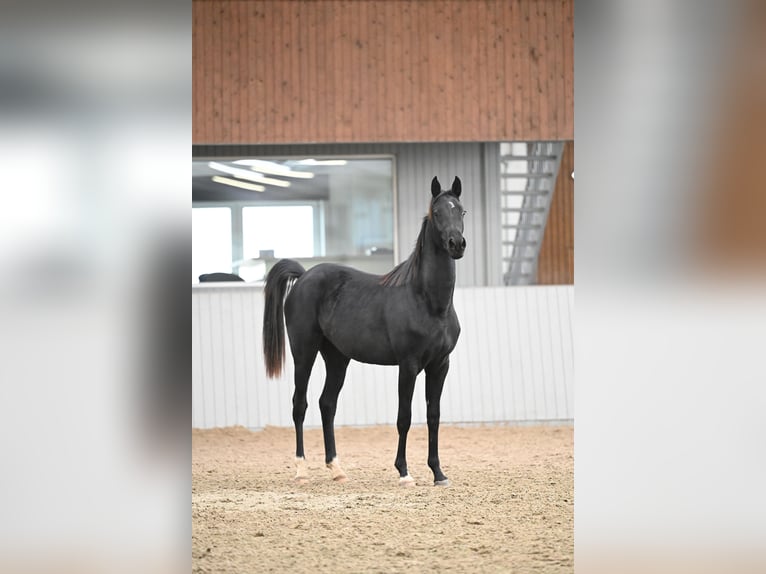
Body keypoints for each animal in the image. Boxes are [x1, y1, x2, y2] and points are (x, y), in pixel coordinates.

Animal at [264, 176, 468, 486]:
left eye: (462, 211)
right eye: (437, 212)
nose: (456, 244)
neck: (428, 302)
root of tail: (304, 276)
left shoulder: (440, 365)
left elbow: (433, 416)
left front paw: (438, 473)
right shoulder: (408, 365)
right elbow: (404, 417)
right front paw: (404, 473)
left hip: (337, 358)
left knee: (327, 404)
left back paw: (337, 469)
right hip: (304, 353)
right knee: (300, 404)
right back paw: (301, 470)